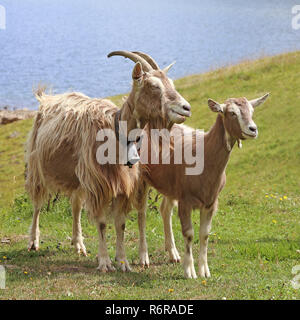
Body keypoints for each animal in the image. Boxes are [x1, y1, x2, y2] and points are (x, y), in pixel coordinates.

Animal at [25, 52, 190, 272]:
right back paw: (33, 242)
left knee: (75, 205)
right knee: (37, 203)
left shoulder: (122, 185)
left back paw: (79, 244)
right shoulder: (98, 184)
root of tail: (46, 98)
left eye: (170, 82)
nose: (186, 108)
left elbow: (120, 223)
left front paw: (123, 262)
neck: (115, 132)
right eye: (154, 86)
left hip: (78, 177)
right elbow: (102, 223)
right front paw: (104, 262)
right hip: (37, 165)